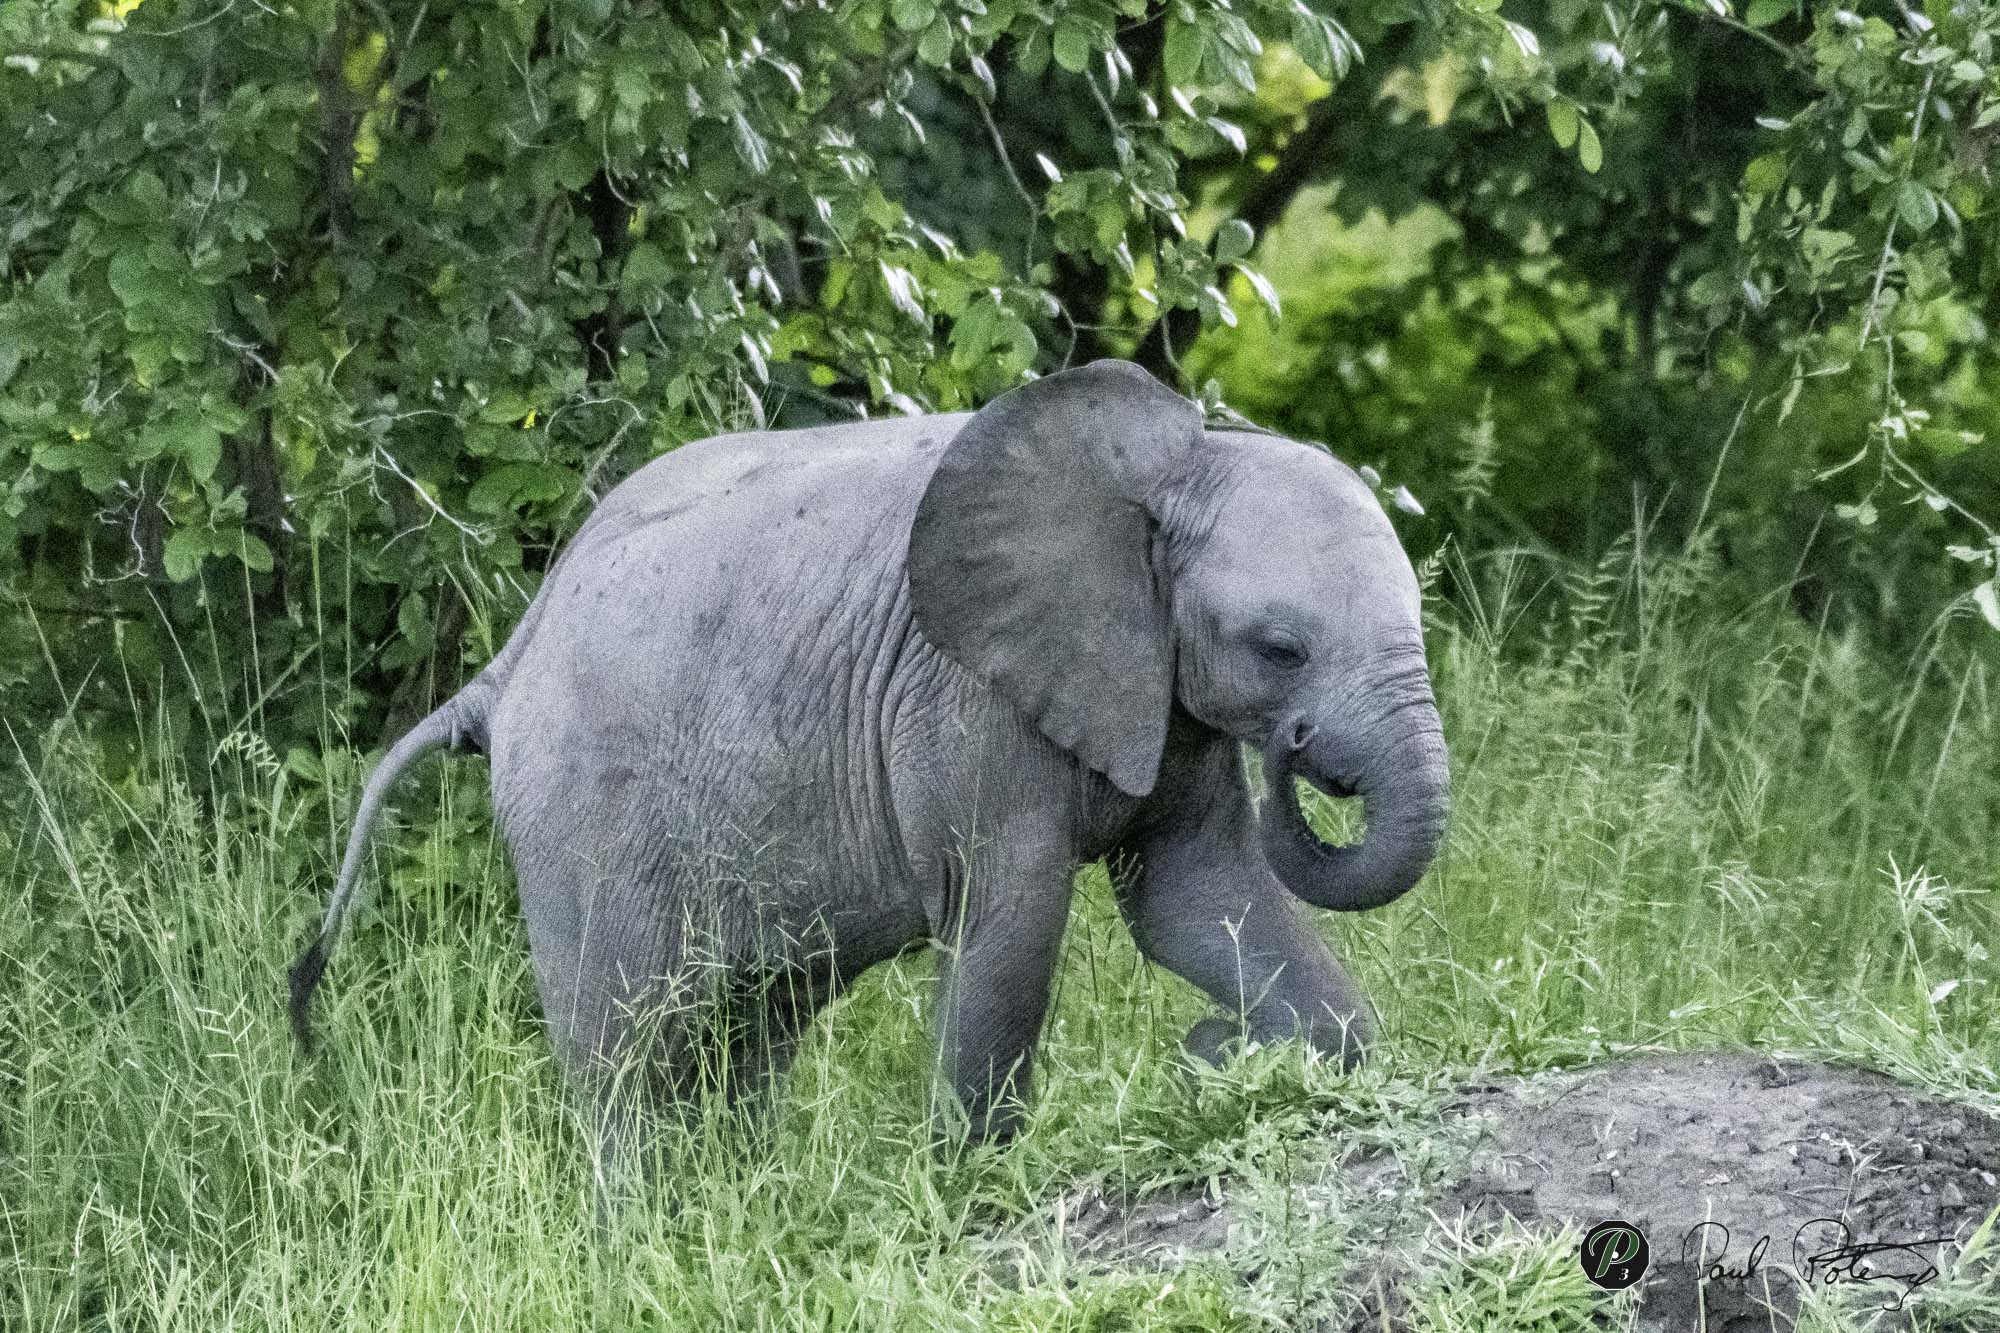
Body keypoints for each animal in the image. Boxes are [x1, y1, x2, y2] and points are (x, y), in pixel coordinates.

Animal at [289, 359, 1449, 1157]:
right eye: (1280, 649)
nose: (1299, 750)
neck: (1165, 468)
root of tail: (503, 664)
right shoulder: (966, 696)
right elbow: (1010, 924)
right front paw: (971, 1181)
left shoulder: (1154, 691)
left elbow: (1194, 895)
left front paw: (1257, 1056)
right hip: (578, 818)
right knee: (628, 1048)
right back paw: (647, 1231)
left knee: (744, 1031)